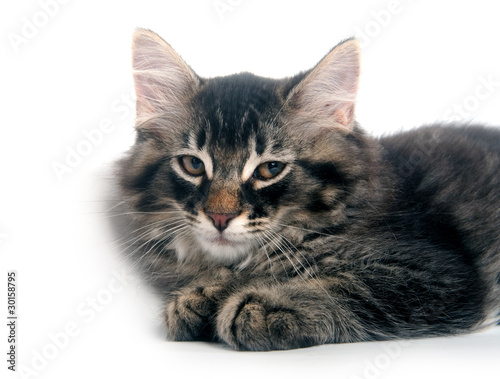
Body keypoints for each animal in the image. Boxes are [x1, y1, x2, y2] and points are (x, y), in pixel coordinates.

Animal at [115, 28, 500, 352]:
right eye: (193, 165)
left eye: (270, 169)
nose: (219, 217)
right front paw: (202, 294)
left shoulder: (438, 275)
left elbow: (347, 286)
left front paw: (260, 304)